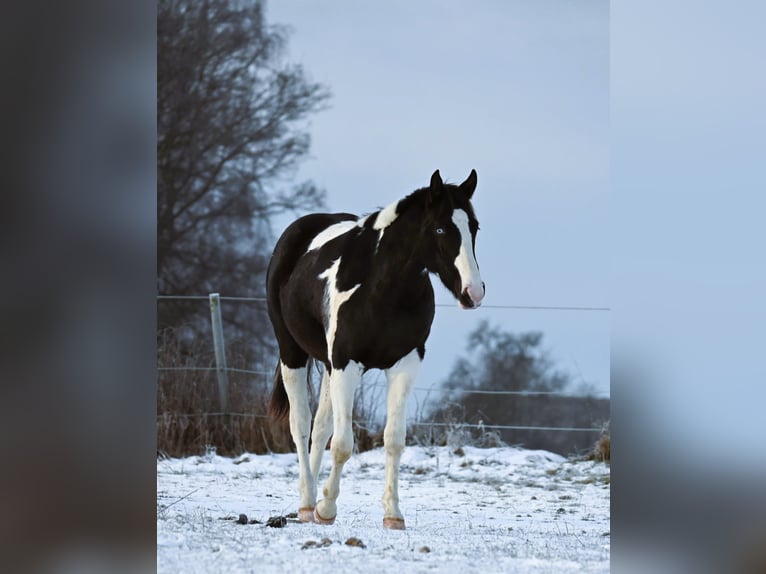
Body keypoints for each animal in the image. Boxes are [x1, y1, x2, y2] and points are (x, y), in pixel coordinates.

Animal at [266, 169, 484, 529]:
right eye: (440, 228)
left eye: (474, 228)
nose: (473, 292)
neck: (382, 288)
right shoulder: (346, 363)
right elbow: (343, 443)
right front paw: (327, 509)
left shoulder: (404, 365)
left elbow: (394, 439)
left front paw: (393, 514)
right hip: (292, 353)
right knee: (300, 423)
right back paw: (308, 502)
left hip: (328, 366)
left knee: (320, 427)